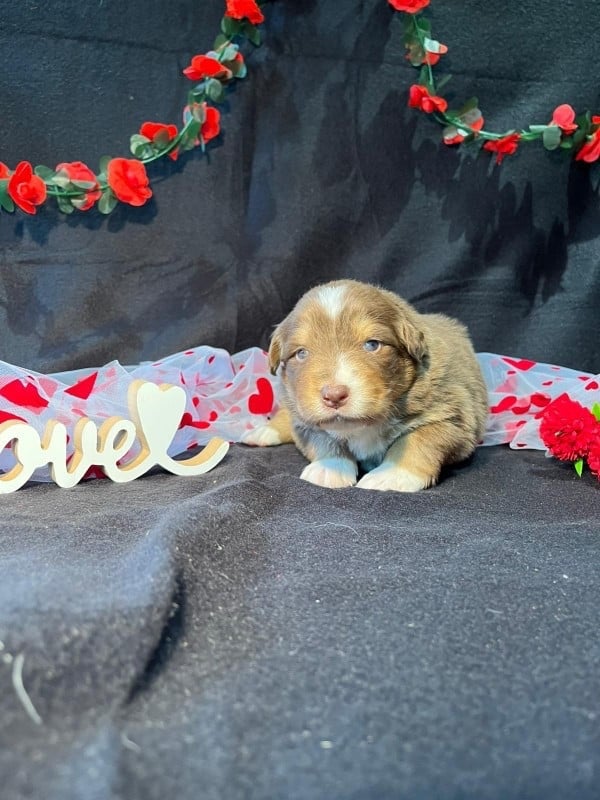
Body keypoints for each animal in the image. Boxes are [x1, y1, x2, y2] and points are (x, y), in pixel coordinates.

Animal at [243, 279, 488, 492]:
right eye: (301, 353)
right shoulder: (305, 420)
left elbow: (418, 438)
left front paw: (391, 475)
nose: (334, 395)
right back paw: (263, 431)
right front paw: (329, 469)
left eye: (372, 344)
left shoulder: (453, 413)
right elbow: (323, 438)